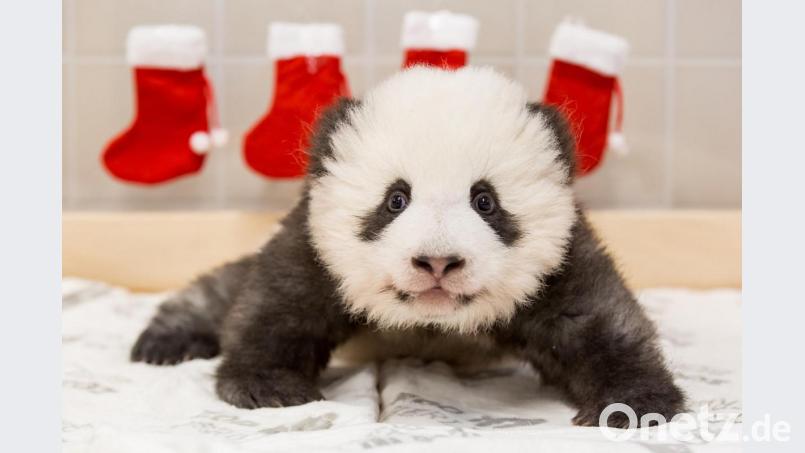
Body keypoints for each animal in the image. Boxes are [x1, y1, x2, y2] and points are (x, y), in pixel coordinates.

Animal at [131, 67, 684, 427]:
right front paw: (268, 386)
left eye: (485, 201)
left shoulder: (559, 260)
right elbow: (274, 301)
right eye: (396, 199)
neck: (430, 322)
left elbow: (597, 320)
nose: (437, 262)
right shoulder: (316, 246)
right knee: (225, 288)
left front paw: (633, 401)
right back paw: (168, 339)